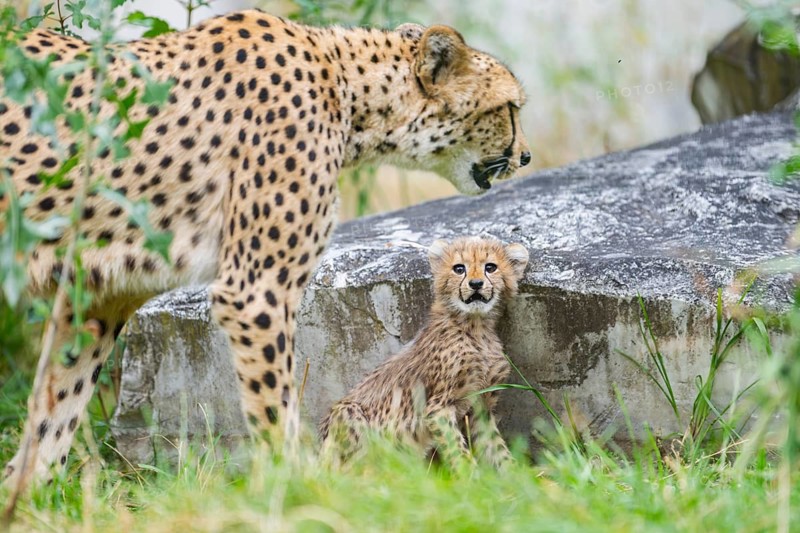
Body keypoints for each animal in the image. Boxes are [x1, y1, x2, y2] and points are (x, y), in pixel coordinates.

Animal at [320, 237, 529, 468]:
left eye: (490, 267)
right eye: (459, 269)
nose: (476, 284)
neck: (475, 326)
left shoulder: (480, 407)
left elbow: (497, 450)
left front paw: (516, 475)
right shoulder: (438, 408)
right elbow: (458, 451)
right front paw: (471, 475)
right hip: (347, 413)